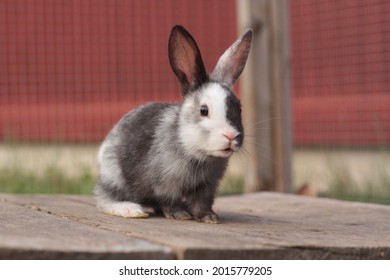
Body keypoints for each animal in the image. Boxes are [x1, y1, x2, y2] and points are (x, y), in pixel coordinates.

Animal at [95, 25, 253, 224]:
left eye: (239, 107)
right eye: (204, 110)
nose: (231, 136)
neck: (198, 154)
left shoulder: (206, 187)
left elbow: (202, 203)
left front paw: (209, 217)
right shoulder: (165, 184)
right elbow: (169, 201)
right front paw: (180, 214)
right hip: (115, 177)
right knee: (104, 199)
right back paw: (131, 209)